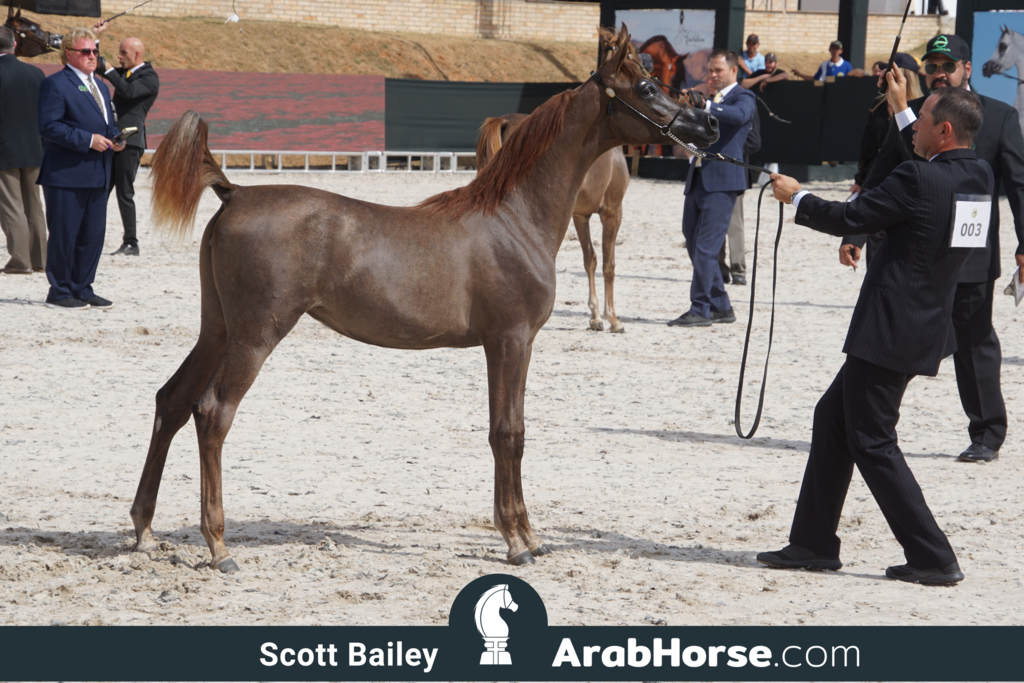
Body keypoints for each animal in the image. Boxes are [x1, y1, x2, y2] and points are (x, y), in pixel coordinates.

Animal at [477, 114, 630, 332]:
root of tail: (505, 120)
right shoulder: (612, 211)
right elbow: (609, 265)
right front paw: (613, 319)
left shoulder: (581, 216)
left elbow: (590, 260)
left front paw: (595, 317)